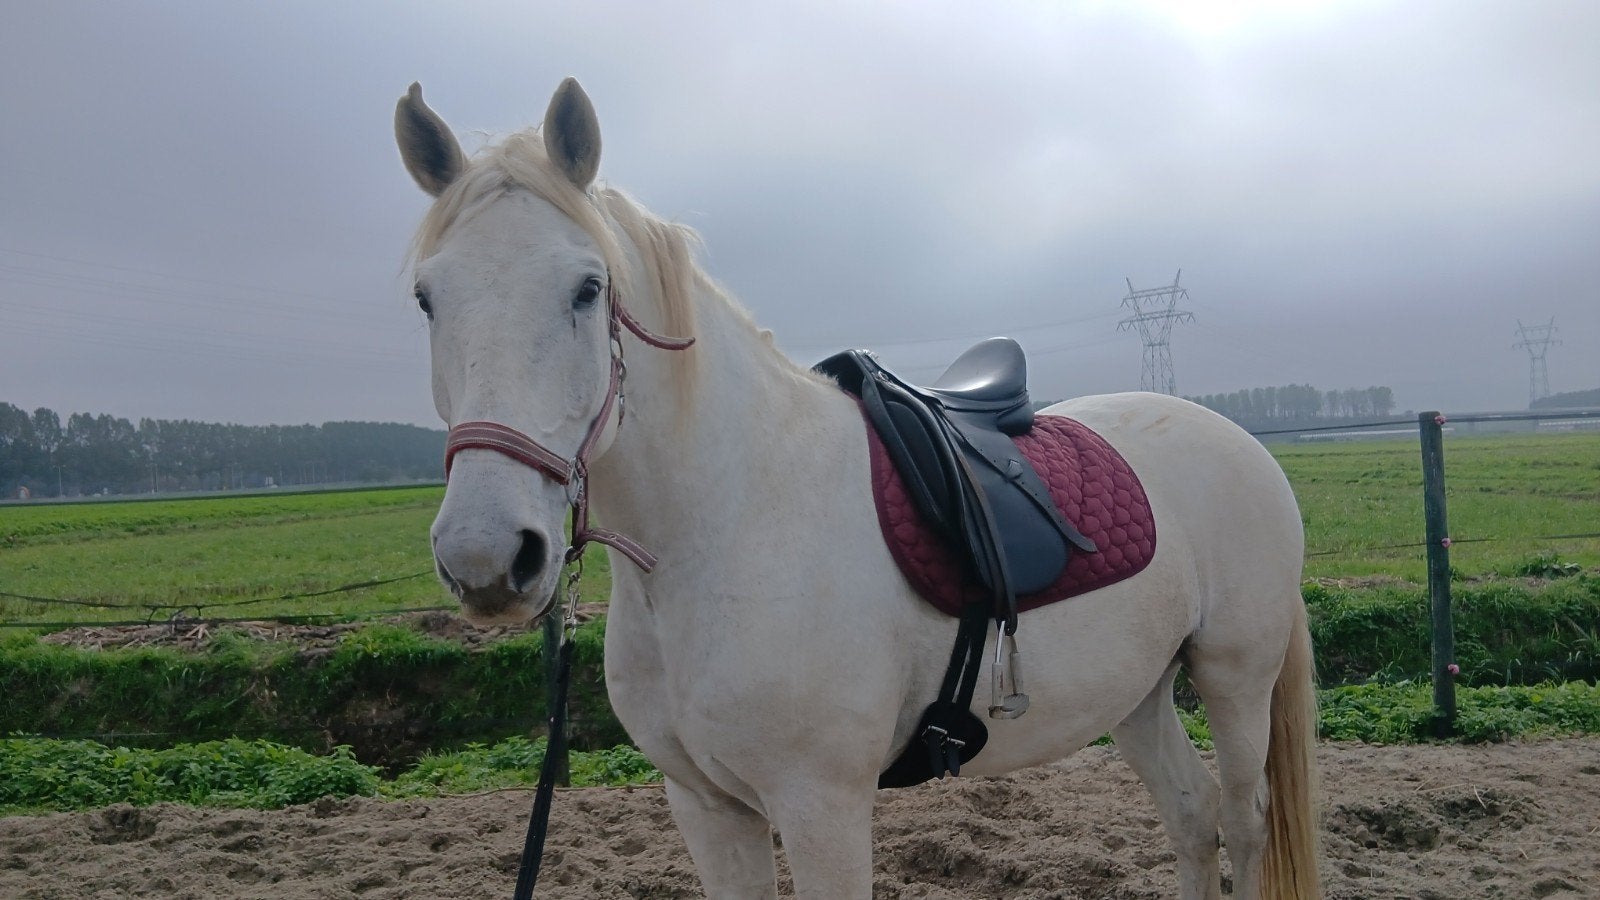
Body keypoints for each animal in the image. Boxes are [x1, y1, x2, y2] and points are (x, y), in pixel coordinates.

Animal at [393, 77, 1321, 899]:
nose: (487, 559)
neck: (723, 526)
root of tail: (1237, 440)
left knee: (1244, 823)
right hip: (1138, 692)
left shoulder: (821, 807)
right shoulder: (707, 807)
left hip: (1234, 676)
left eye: (587, 289)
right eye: (426, 298)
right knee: (1192, 817)